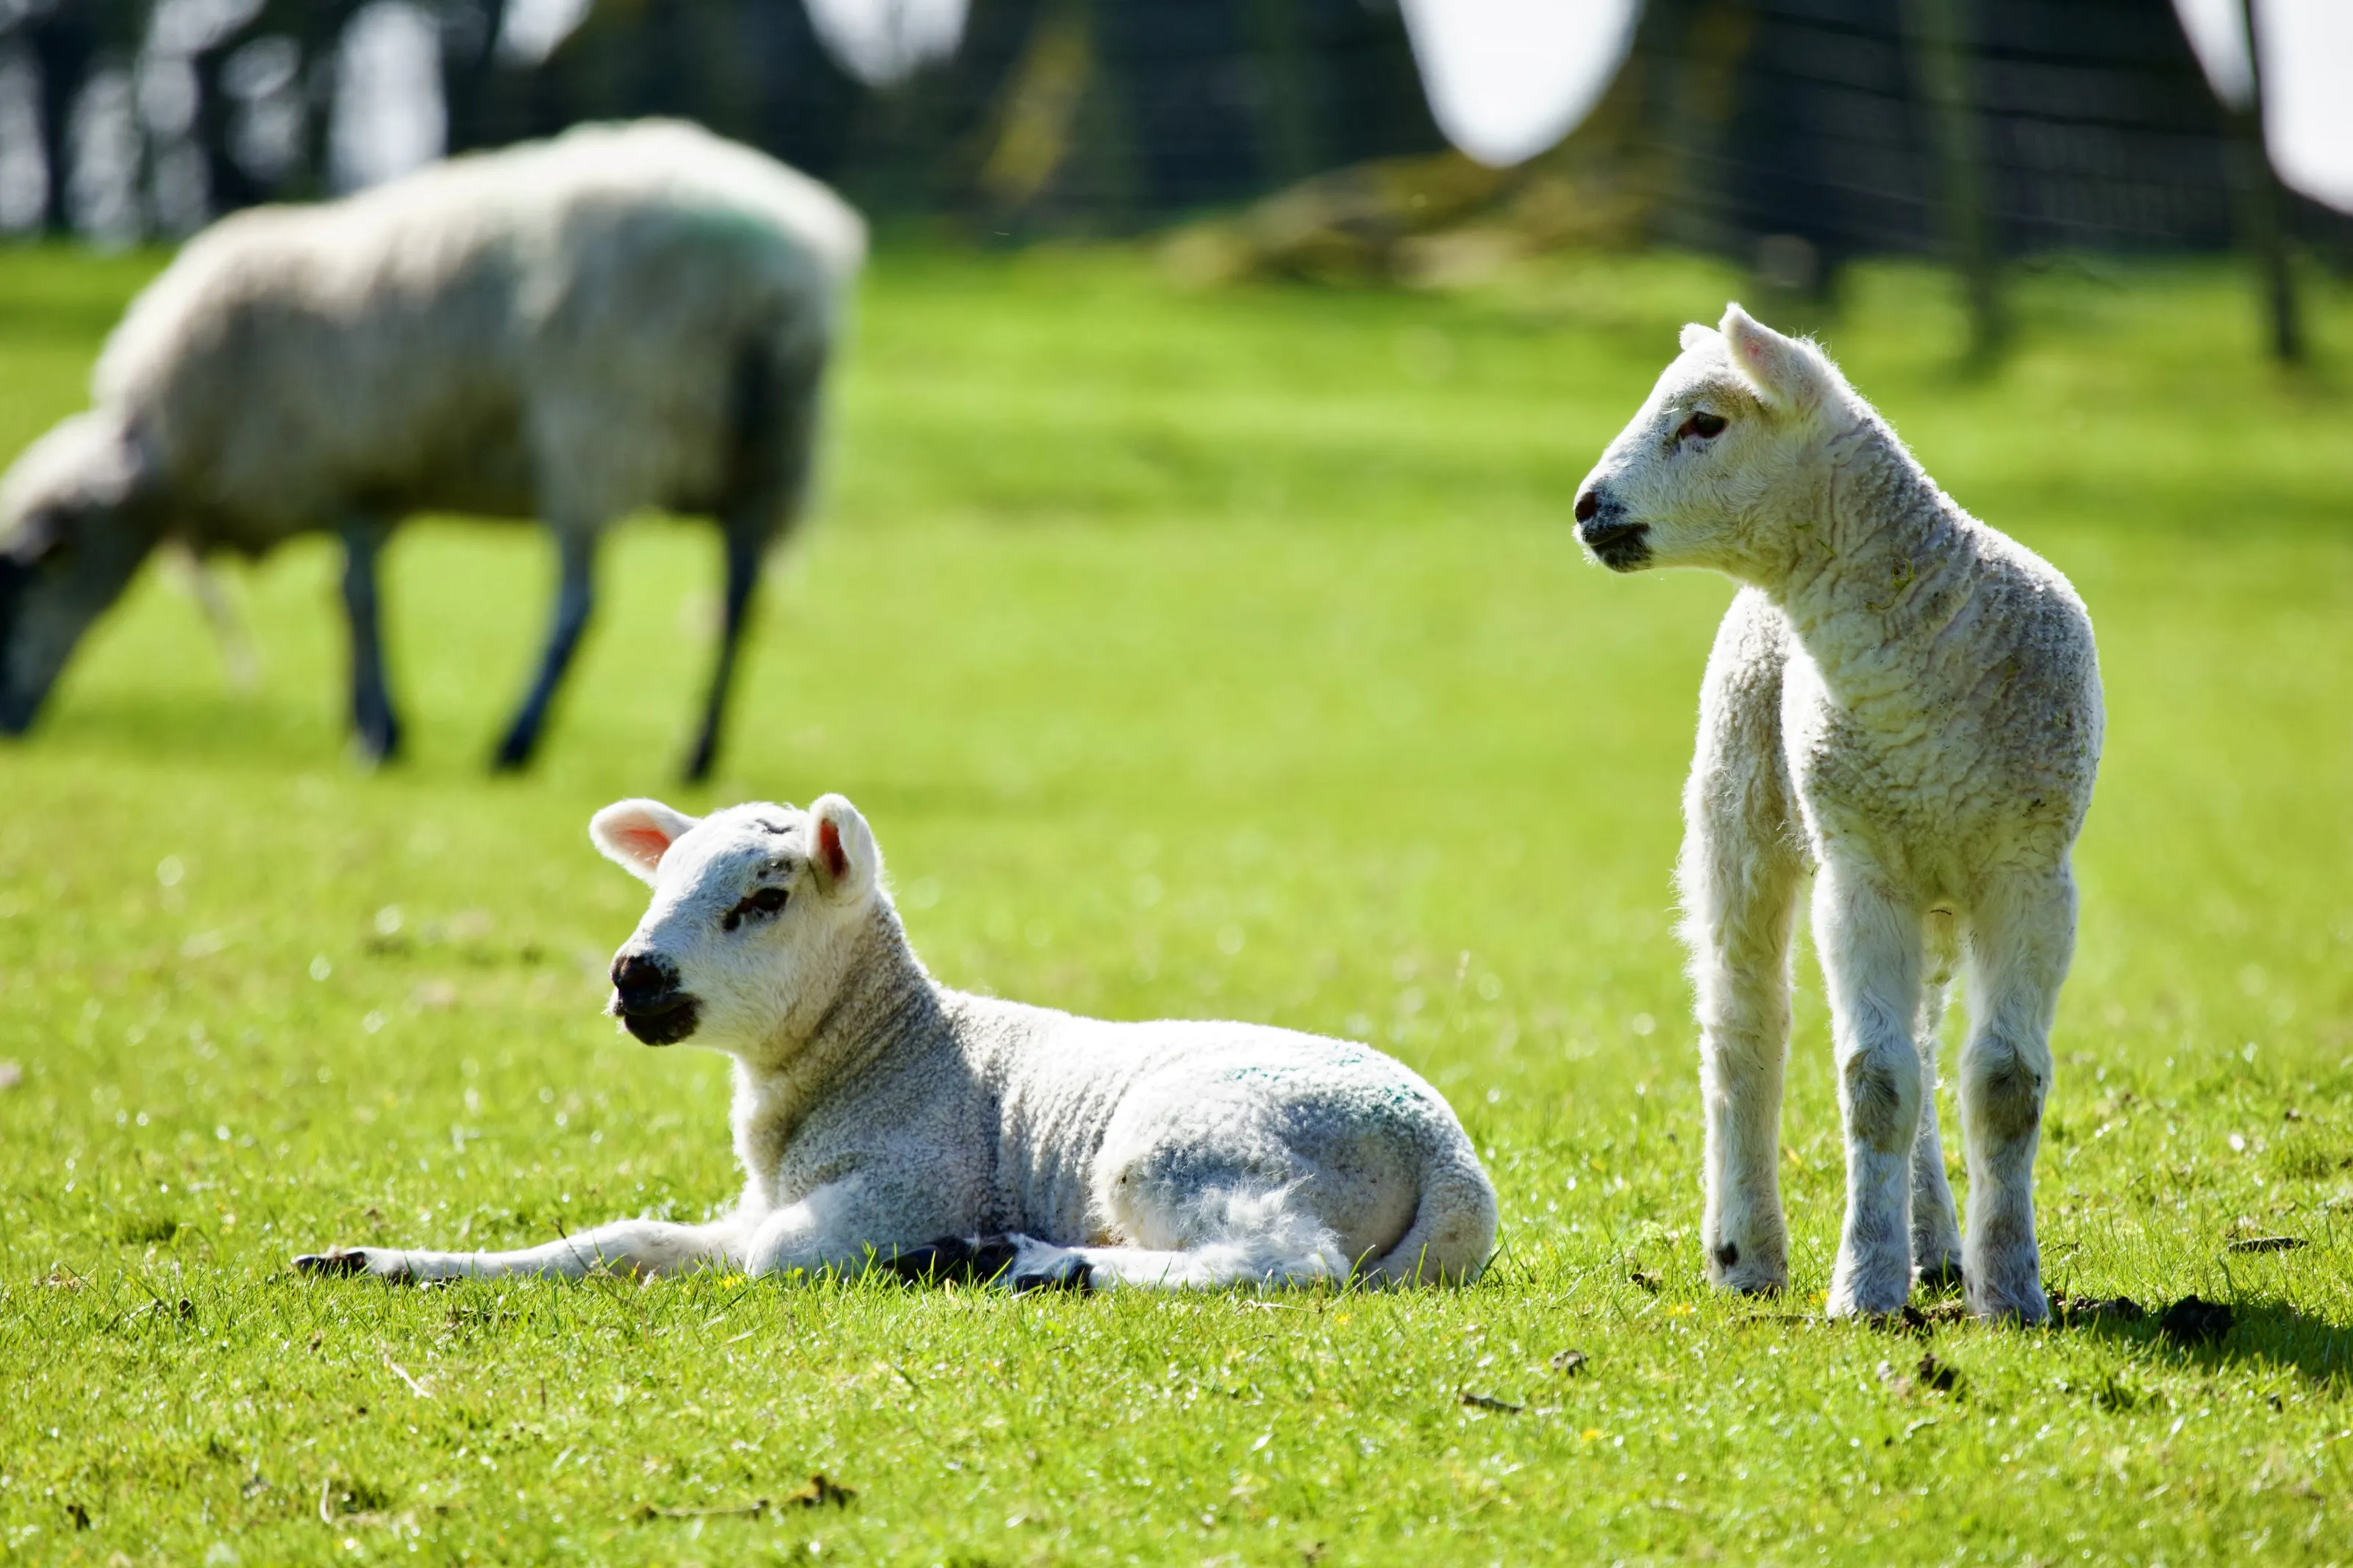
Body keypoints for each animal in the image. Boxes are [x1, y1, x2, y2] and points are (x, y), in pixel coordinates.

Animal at [0, 119, 865, 779]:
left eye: (25, 582)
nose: (10, 726)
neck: (170, 456)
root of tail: (782, 279)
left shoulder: (335, 463)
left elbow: (356, 596)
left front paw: (377, 734)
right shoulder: (377, 482)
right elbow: (349, 593)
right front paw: (366, 716)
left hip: (598, 427)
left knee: (578, 601)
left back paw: (517, 739)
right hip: (765, 454)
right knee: (742, 598)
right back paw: (696, 752)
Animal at [295, 793, 1499, 1291]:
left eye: (765, 898)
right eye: (662, 879)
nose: (635, 974)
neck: (894, 1048)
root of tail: (1452, 1164)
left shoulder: (904, 1183)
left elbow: (768, 1258)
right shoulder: (760, 1200)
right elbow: (613, 1243)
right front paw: (380, 1262)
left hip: (1187, 1143)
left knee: (1284, 1260)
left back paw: (1035, 1265)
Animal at [1571, 305, 2102, 1323]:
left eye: (1704, 422)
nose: (1586, 508)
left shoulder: (2030, 869)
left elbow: (2002, 1084)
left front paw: (2011, 1290)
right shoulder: (1858, 870)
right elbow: (1873, 1082)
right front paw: (1862, 1286)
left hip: (1931, 883)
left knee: (1927, 1046)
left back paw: (1935, 1247)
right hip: (1739, 806)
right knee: (1743, 1026)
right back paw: (1746, 1251)